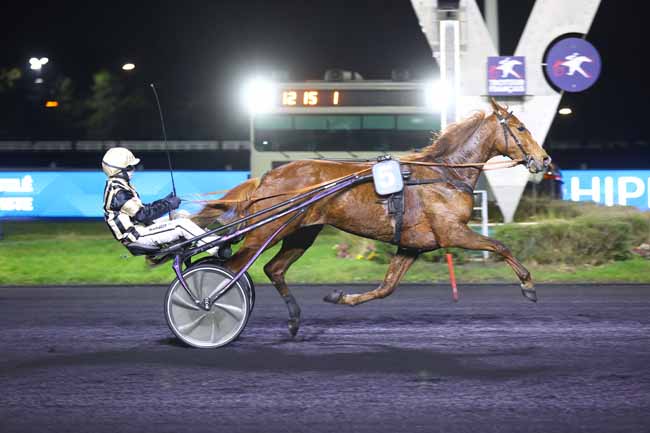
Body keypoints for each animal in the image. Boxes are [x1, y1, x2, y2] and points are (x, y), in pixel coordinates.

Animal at [195, 99, 548, 336]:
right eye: (521, 128)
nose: (544, 160)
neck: (445, 174)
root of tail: (266, 178)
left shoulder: (413, 245)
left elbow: (386, 287)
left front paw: (340, 297)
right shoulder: (452, 232)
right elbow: (500, 245)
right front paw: (528, 285)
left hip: (301, 233)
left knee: (274, 269)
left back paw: (294, 319)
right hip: (267, 230)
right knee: (231, 270)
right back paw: (207, 309)